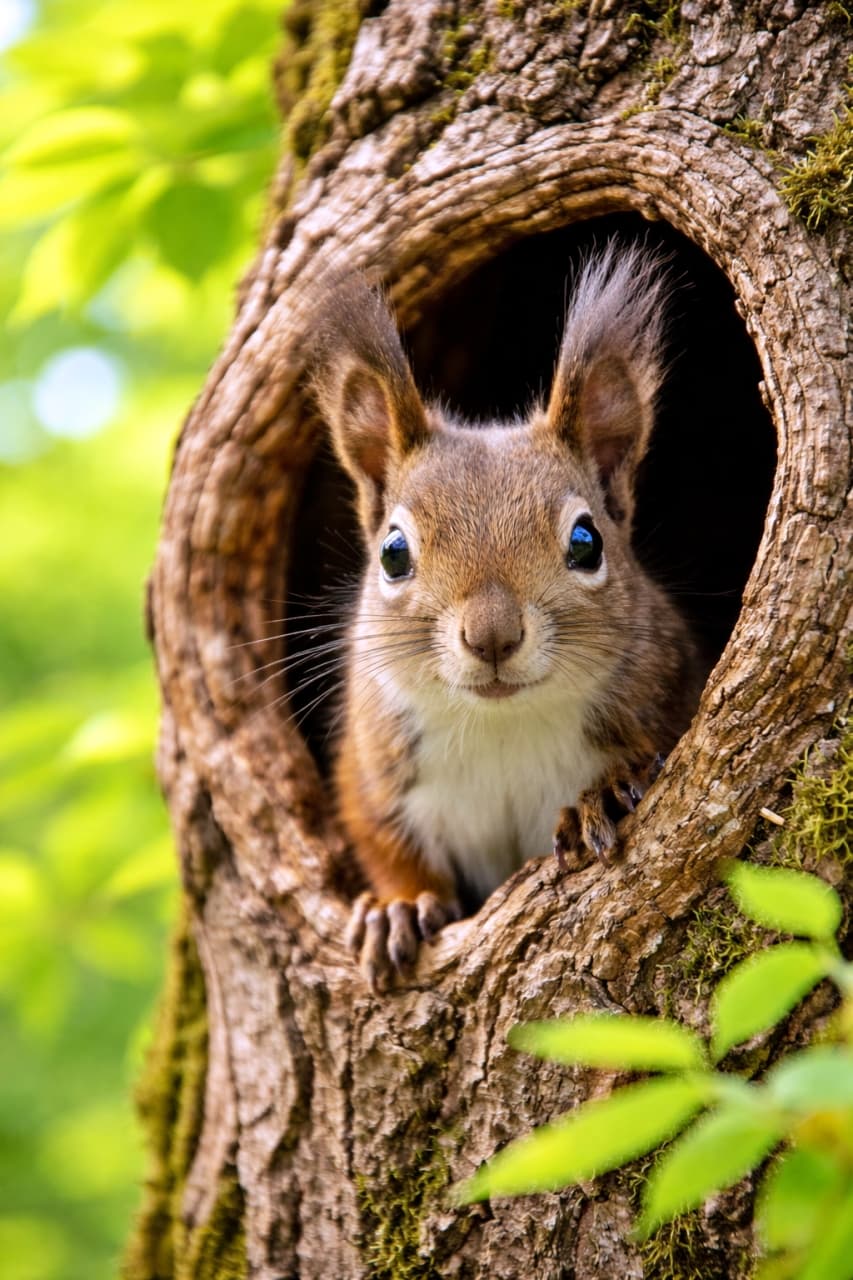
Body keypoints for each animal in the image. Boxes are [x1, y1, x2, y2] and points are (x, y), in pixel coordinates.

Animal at [310, 243, 704, 991]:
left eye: (586, 541)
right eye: (393, 553)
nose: (491, 635)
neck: (501, 727)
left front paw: (605, 797)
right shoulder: (375, 766)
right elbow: (381, 840)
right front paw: (397, 908)